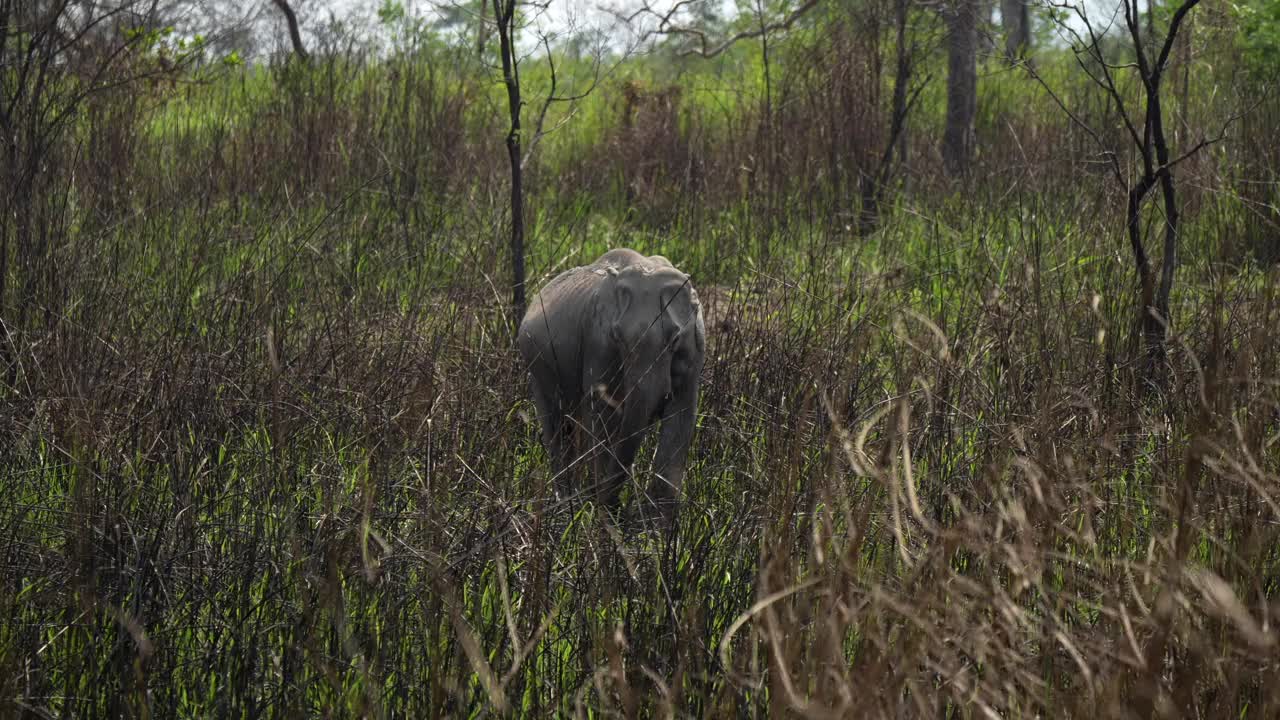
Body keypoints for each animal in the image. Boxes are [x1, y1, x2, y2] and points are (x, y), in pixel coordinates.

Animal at [514, 245, 706, 520]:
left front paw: (659, 525)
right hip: (537, 370)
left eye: (675, 338)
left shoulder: (695, 352)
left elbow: (681, 418)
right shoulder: (598, 345)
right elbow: (606, 418)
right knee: (557, 427)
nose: (628, 510)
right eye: (617, 336)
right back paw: (568, 504)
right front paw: (603, 512)